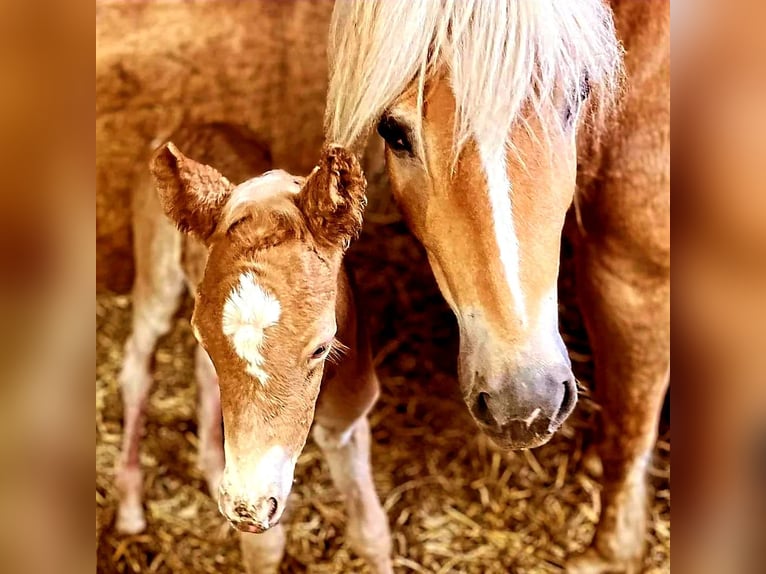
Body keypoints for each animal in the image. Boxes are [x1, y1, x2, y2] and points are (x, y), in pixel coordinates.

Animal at [117, 124, 400, 572]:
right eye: (202, 334)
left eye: (321, 348)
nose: (243, 505)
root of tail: (191, 125)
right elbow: (264, 548)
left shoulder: (348, 418)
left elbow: (371, 531)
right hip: (155, 275)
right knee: (137, 369)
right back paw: (129, 506)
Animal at [328, 2, 668, 572]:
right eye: (393, 131)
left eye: (577, 96)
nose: (524, 402)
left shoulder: (635, 280)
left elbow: (630, 425)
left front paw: (608, 552)